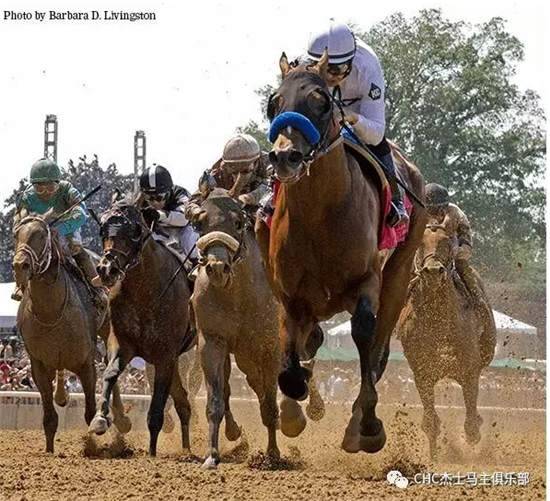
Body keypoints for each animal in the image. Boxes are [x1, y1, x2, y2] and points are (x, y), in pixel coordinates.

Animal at [12, 214, 129, 453]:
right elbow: (49, 416)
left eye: (40, 235)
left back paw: (121, 418)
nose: (20, 265)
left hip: (108, 327)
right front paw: (49, 450)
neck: (51, 313)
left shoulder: (86, 363)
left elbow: (90, 412)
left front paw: (95, 442)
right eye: (16, 235)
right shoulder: (38, 365)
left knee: (110, 360)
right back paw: (62, 395)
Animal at [89, 194, 194, 456]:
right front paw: (100, 419)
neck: (145, 291)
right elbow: (109, 373)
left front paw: (152, 452)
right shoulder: (122, 343)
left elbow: (156, 408)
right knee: (183, 402)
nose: (107, 269)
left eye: (135, 230)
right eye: (102, 227)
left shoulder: (165, 355)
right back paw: (187, 448)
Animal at [192, 187, 295, 469]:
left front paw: (272, 455)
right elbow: (216, 400)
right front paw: (212, 455)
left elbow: (269, 403)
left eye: (238, 222)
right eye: (200, 223)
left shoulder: (270, 348)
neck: (238, 295)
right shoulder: (212, 342)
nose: (217, 267)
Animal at [261, 51, 427, 454]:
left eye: (320, 102)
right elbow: (289, 368)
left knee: (378, 351)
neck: (319, 216)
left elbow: (365, 336)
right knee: (309, 343)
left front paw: (367, 425)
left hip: (398, 275)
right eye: (274, 103)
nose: (284, 157)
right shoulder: (291, 296)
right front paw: (294, 410)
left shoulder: (367, 282)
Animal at [396, 223, 496, 457]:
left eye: (447, 243)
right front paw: (433, 455)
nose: (433, 271)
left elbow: (471, 425)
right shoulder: (422, 373)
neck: (439, 318)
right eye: (420, 243)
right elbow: (430, 421)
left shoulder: (470, 371)